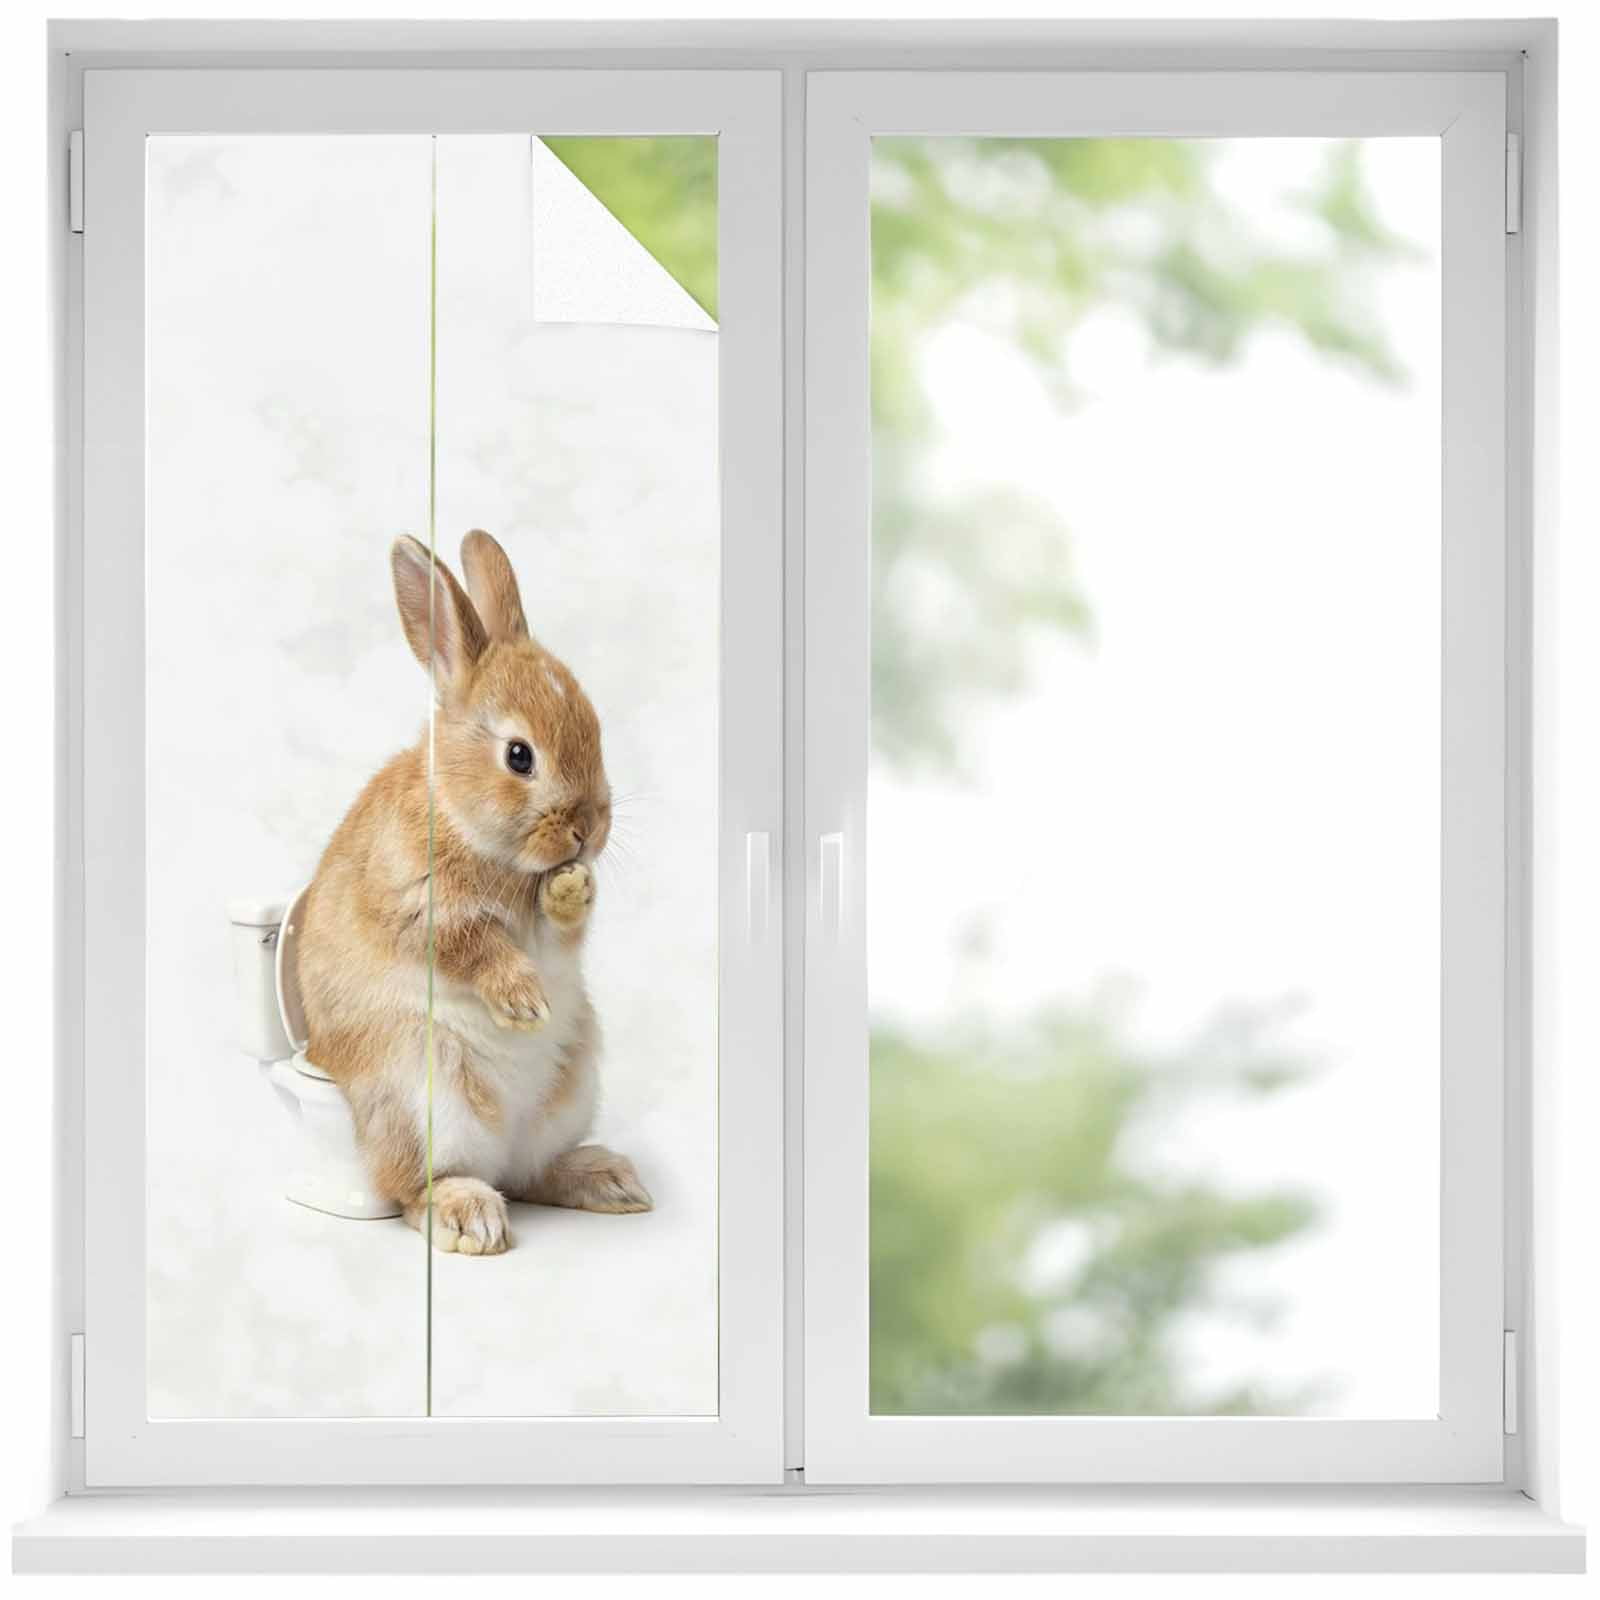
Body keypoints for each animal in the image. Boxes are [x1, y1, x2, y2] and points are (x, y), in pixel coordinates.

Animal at [294, 529, 652, 1254]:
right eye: (520, 756)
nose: (588, 829)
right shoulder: (420, 910)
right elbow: (474, 946)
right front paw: (523, 1002)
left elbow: (559, 929)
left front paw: (571, 890)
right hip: (413, 1092)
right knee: (416, 1190)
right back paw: (471, 1218)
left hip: (571, 1085)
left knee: (532, 1173)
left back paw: (608, 1180)